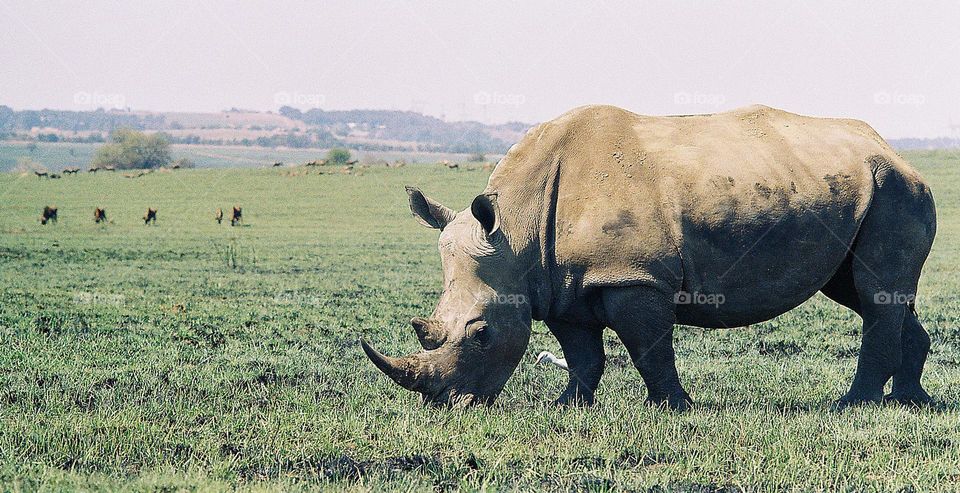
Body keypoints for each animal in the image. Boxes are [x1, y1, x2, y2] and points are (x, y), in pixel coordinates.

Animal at [361, 104, 937, 410]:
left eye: (481, 334)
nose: (447, 404)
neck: (517, 230)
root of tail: (895, 151)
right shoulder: (561, 283)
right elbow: (583, 353)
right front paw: (569, 406)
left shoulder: (632, 277)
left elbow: (648, 349)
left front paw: (674, 409)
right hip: (858, 191)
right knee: (867, 292)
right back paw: (910, 402)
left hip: (895, 191)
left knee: (874, 293)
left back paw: (852, 405)